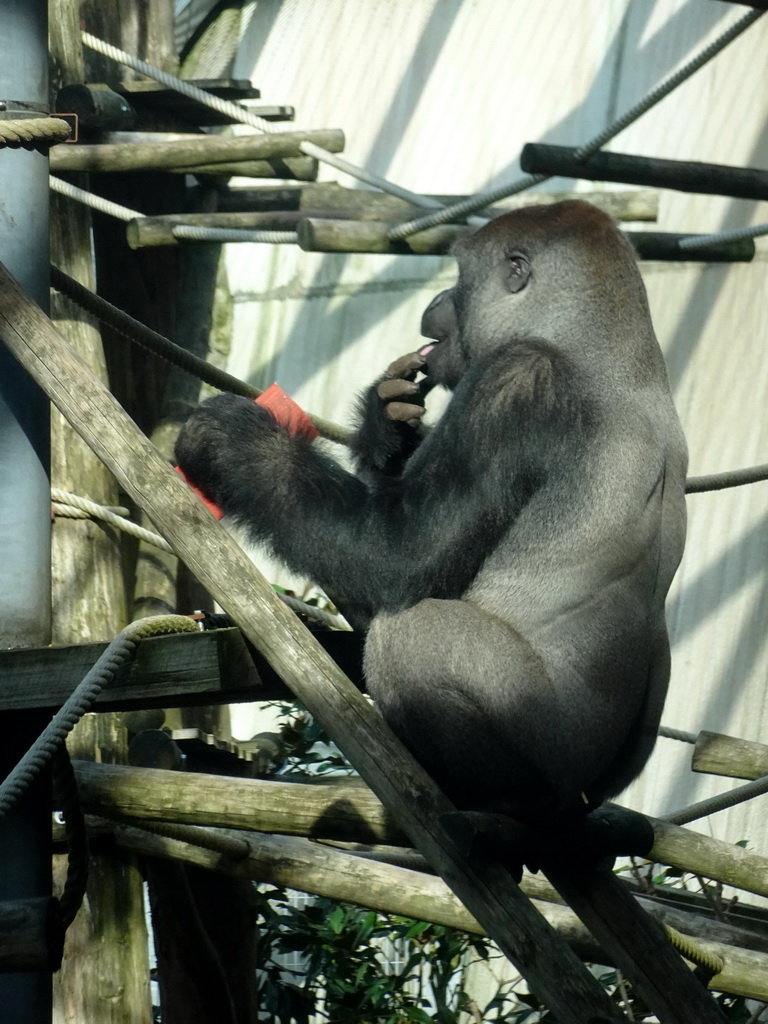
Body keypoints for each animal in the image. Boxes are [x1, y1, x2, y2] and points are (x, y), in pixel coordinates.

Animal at [176, 199, 692, 823]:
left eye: (459, 276)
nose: (436, 301)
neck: (609, 346)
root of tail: (580, 807)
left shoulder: (516, 379)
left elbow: (397, 554)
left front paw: (237, 446)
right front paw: (386, 427)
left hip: (557, 769)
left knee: (412, 635)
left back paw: (495, 797)